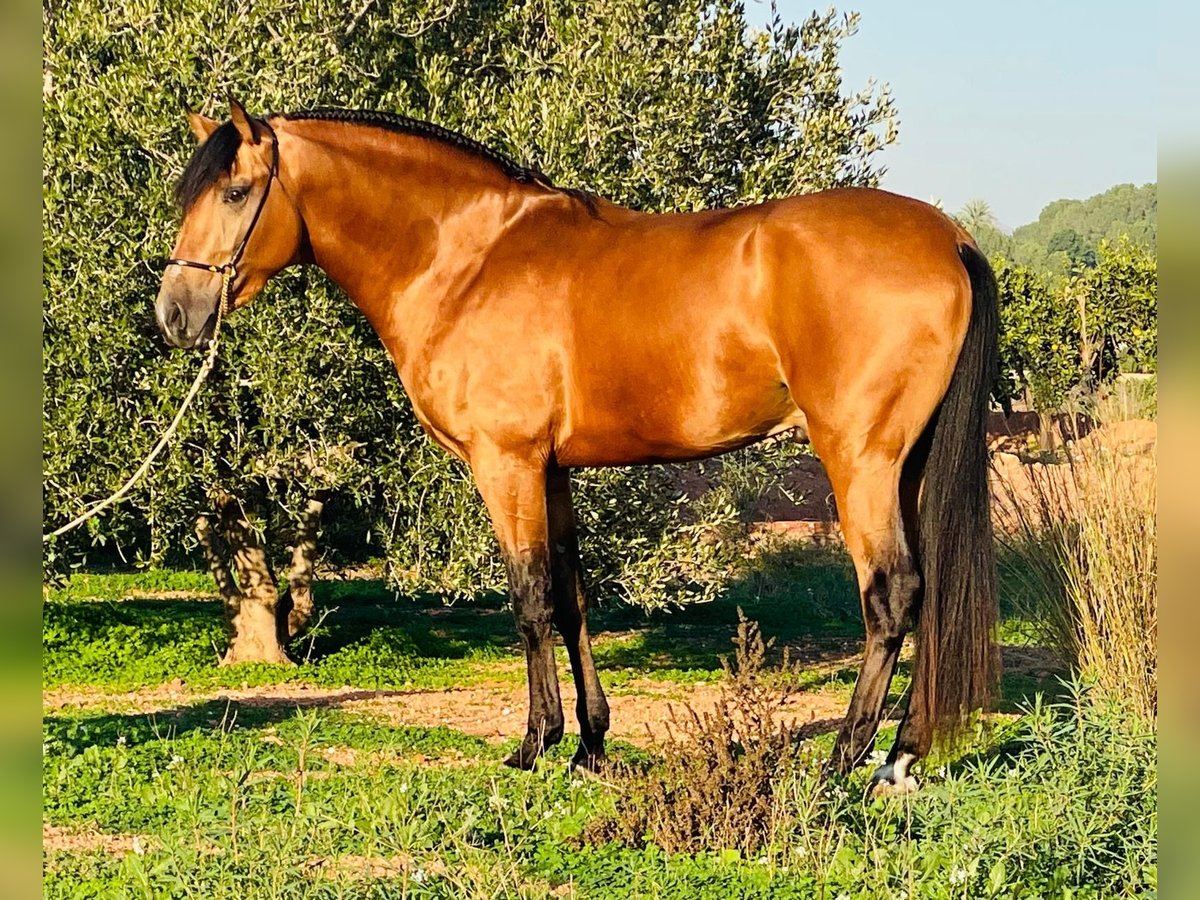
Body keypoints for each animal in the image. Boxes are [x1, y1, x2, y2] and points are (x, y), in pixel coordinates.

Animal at [154, 97, 998, 787]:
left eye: (234, 193)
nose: (175, 314)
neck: (466, 260)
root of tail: (948, 236)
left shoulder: (506, 464)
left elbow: (529, 600)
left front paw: (535, 744)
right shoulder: (551, 470)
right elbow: (572, 598)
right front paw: (590, 745)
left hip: (861, 462)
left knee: (893, 596)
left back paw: (847, 760)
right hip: (908, 466)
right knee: (926, 593)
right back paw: (903, 754)